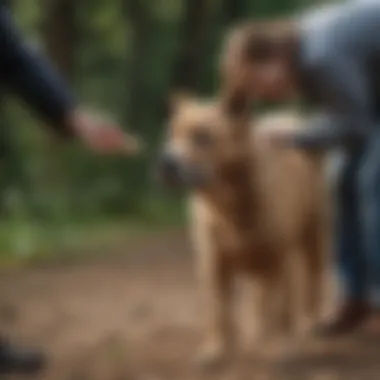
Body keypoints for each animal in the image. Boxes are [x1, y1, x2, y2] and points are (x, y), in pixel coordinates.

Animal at [157, 93, 330, 368]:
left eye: (203, 136)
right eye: (172, 134)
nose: (166, 162)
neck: (228, 207)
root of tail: (287, 116)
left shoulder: (279, 258)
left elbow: (276, 310)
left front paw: (278, 347)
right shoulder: (212, 262)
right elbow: (218, 311)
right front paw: (215, 351)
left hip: (312, 236)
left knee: (309, 283)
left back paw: (307, 324)